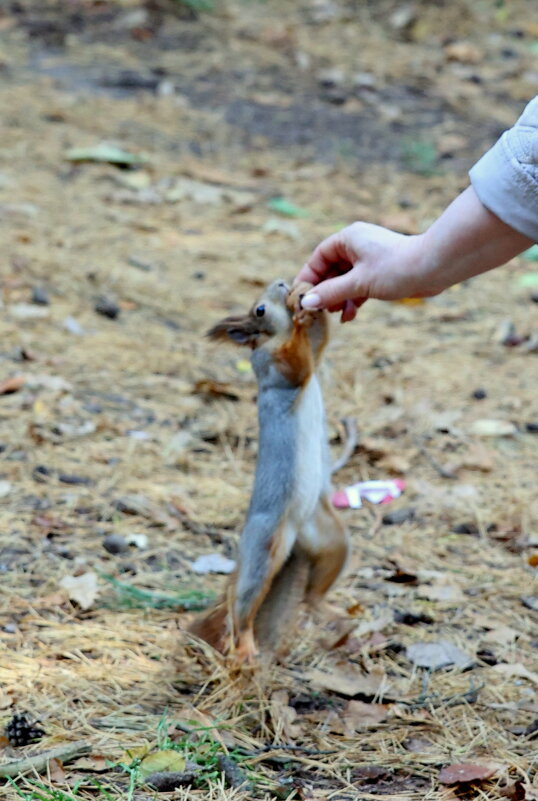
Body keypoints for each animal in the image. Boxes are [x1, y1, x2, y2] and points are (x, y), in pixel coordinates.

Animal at [188, 278, 348, 660]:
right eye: (259, 310)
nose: (281, 282)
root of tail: (297, 538)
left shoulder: (315, 356)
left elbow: (319, 345)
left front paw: (308, 295)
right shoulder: (274, 366)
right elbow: (295, 361)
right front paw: (300, 312)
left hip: (330, 538)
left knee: (312, 595)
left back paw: (330, 610)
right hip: (264, 548)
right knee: (242, 604)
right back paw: (245, 645)